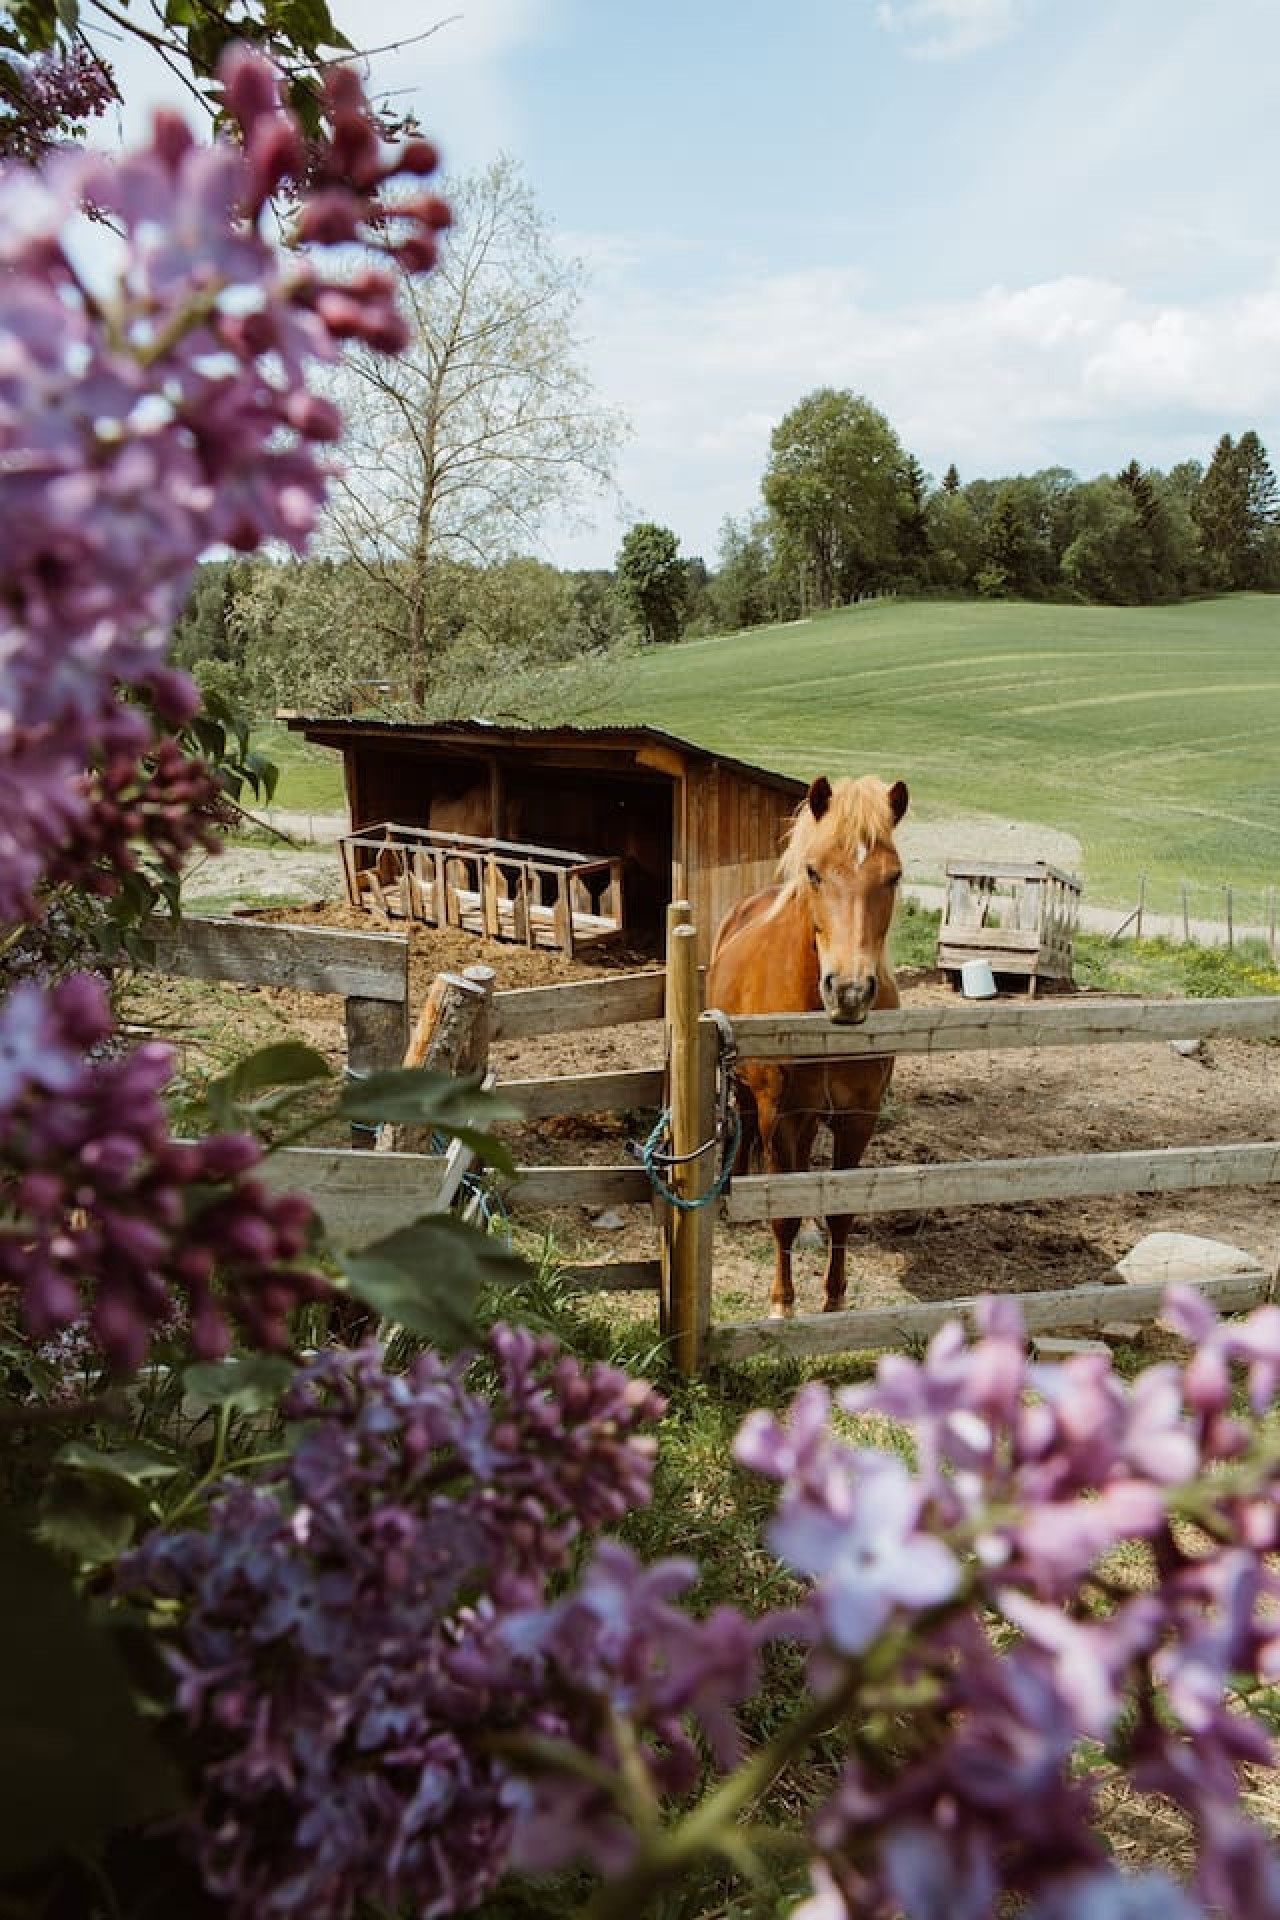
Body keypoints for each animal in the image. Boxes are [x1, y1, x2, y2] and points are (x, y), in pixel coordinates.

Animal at [706, 773, 908, 1319]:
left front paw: (834, 1299)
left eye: (894, 876)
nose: (850, 991)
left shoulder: (858, 1115)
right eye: (814, 873)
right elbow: (783, 1217)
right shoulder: (780, 1115)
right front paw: (783, 1304)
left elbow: (842, 1211)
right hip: (751, 1095)